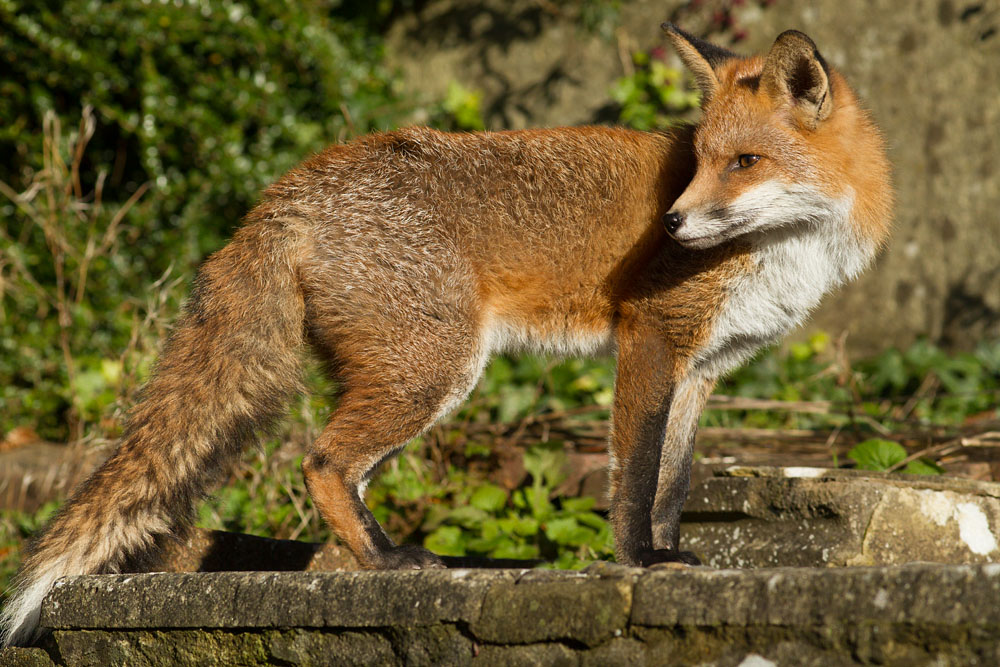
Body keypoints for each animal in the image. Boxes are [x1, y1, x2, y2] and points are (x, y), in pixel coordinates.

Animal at [1, 25, 891, 647]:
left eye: (743, 162)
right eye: (700, 161)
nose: (670, 224)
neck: (790, 251)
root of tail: (285, 192)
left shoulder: (702, 367)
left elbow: (673, 482)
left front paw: (670, 560)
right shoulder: (649, 341)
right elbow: (635, 478)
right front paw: (638, 561)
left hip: (407, 377)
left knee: (341, 479)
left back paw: (373, 557)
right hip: (435, 371)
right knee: (321, 463)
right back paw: (391, 564)